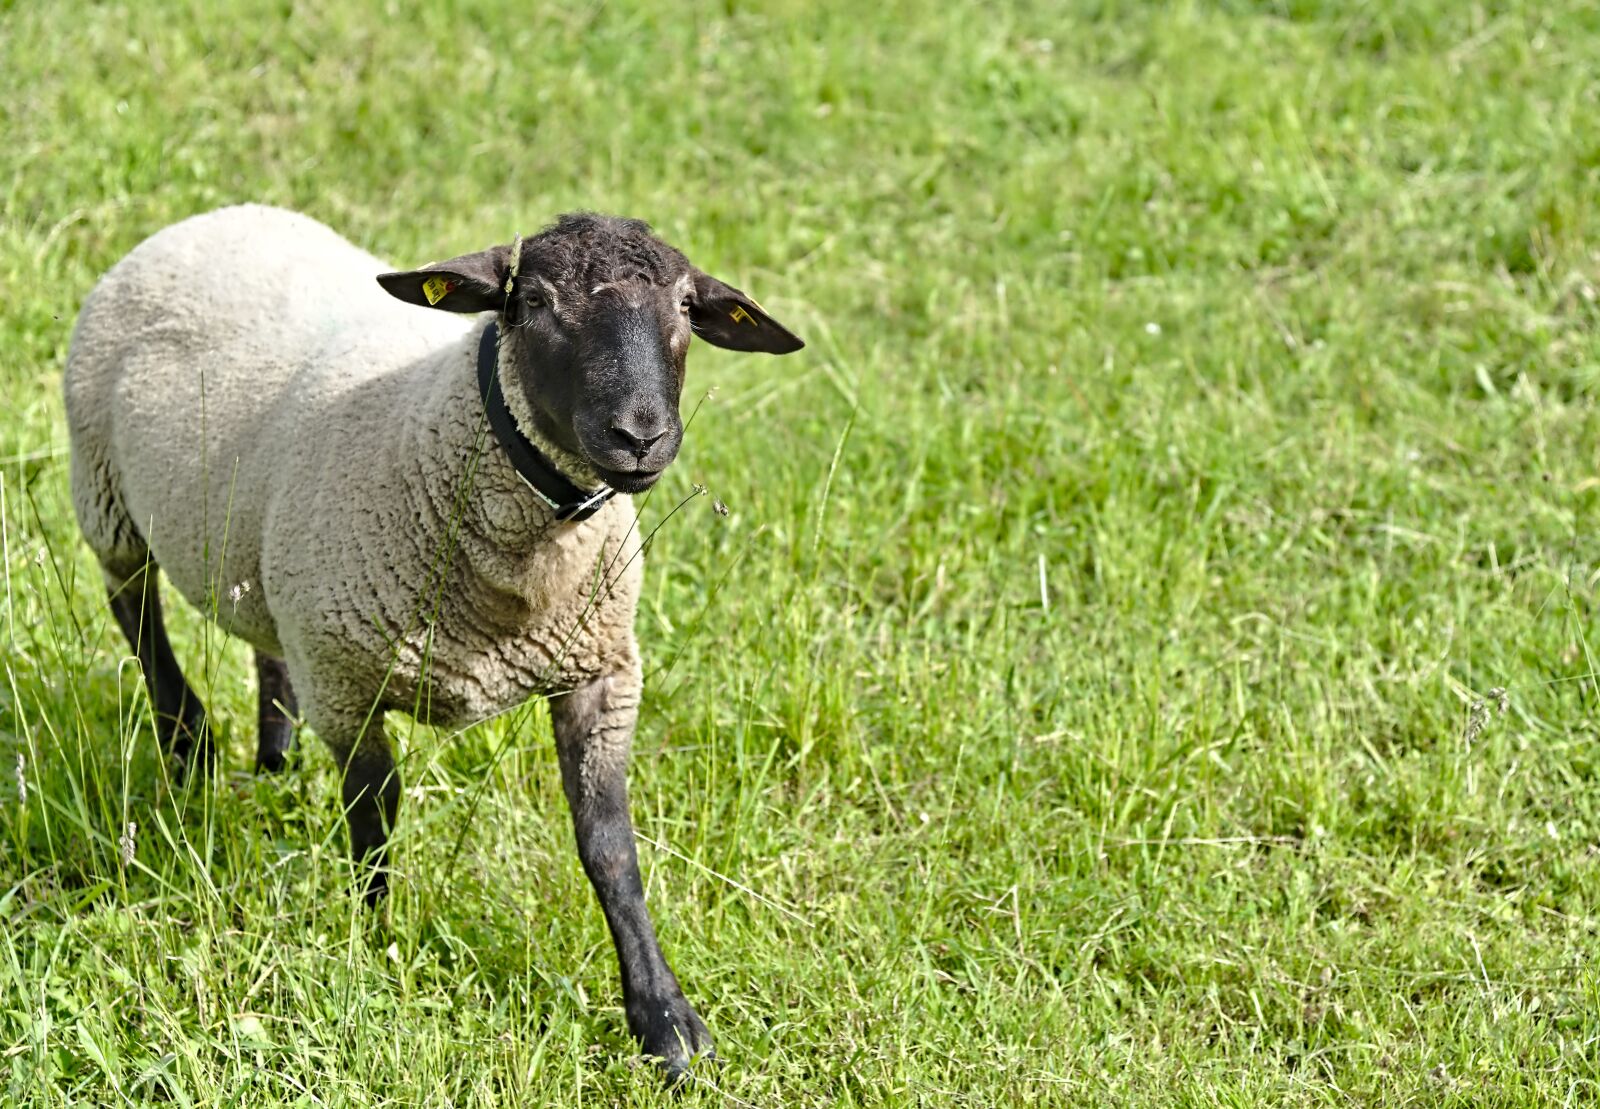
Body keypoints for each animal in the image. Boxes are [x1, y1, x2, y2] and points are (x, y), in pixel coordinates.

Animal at [63, 204, 803, 1076]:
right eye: (533, 303)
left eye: (687, 308)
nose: (640, 436)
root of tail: (213, 215)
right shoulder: (346, 679)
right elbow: (374, 816)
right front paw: (377, 939)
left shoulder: (600, 672)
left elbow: (610, 847)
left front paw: (665, 1020)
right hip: (106, 494)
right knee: (137, 613)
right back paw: (190, 749)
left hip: (255, 548)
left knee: (263, 639)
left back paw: (275, 761)